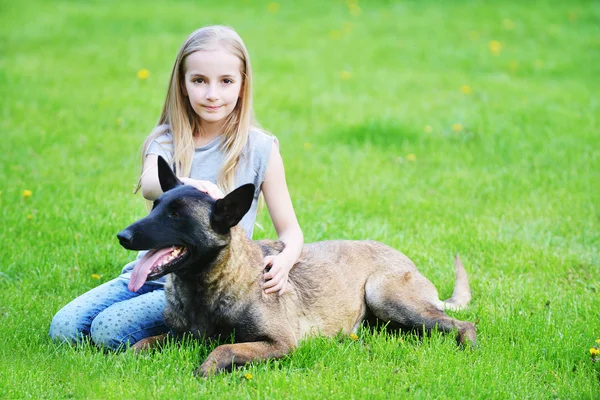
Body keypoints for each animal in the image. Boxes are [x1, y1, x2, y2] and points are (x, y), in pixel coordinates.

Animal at [117, 155, 476, 376]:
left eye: (176, 214)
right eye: (155, 205)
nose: (122, 236)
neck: (207, 288)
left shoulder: (280, 344)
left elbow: (224, 348)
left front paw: (205, 369)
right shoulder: (178, 335)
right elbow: (139, 344)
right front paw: (122, 361)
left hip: (384, 296)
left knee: (462, 325)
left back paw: (468, 347)